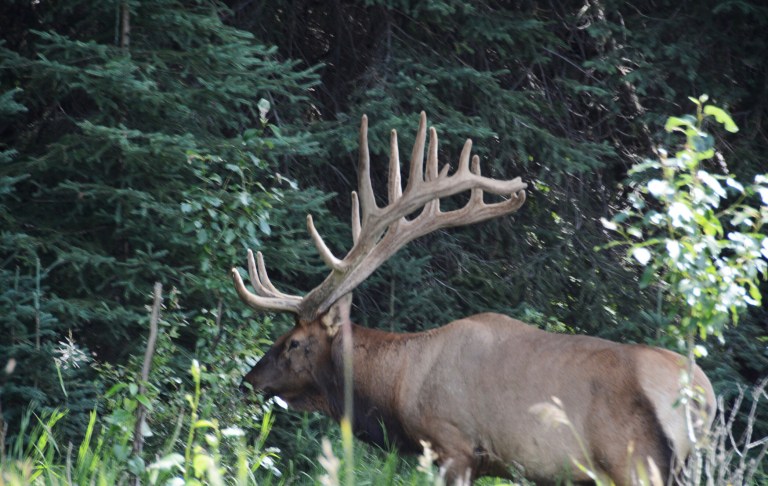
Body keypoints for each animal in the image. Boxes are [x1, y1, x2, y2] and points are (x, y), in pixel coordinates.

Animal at [231, 112, 715, 485]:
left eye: (293, 343)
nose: (248, 380)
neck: (397, 387)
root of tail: (704, 400)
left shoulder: (454, 444)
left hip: (634, 460)